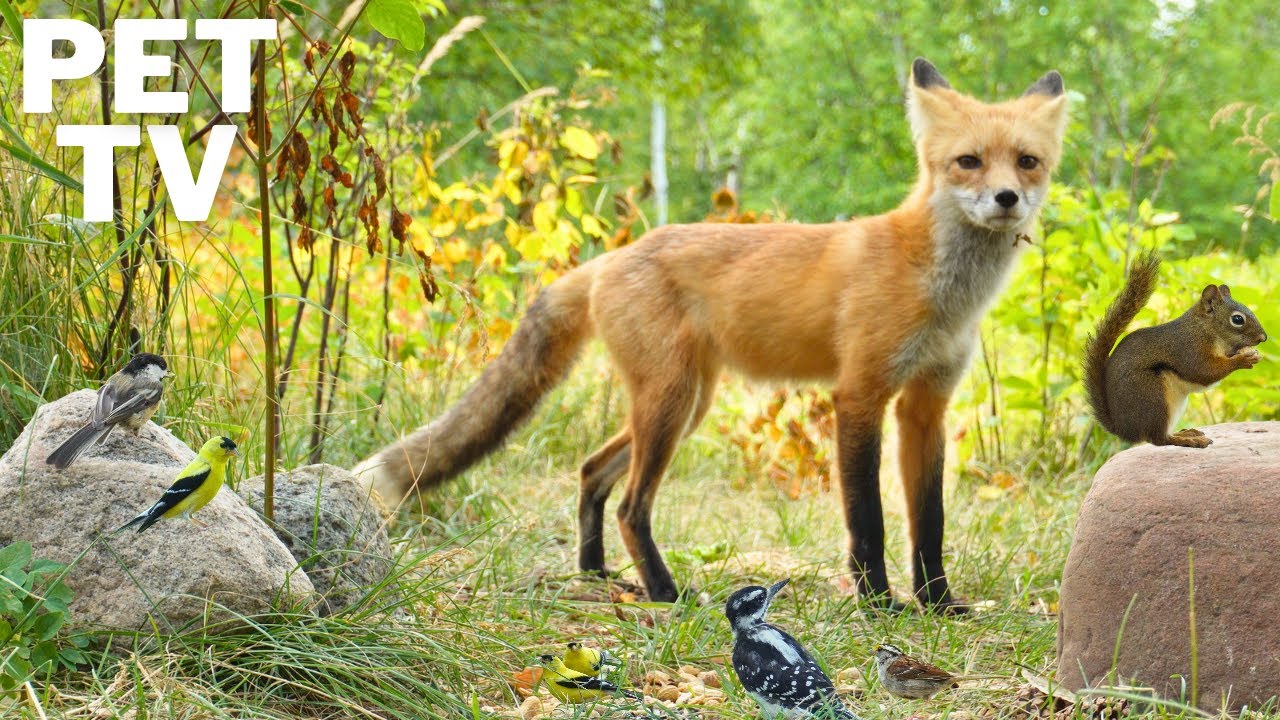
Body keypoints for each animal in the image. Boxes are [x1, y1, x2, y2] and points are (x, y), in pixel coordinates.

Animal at [354, 58, 1069, 611]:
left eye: (1027, 163)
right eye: (968, 162)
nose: (1006, 198)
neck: (940, 289)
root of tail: (610, 258)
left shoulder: (926, 406)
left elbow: (930, 522)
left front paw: (938, 603)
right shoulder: (860, 394)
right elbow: (867, 518)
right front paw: (877, 603)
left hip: (683, 404)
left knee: (590, 470)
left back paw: (596, 573)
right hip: (671, 403)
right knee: (631, 506)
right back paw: (666, 593)